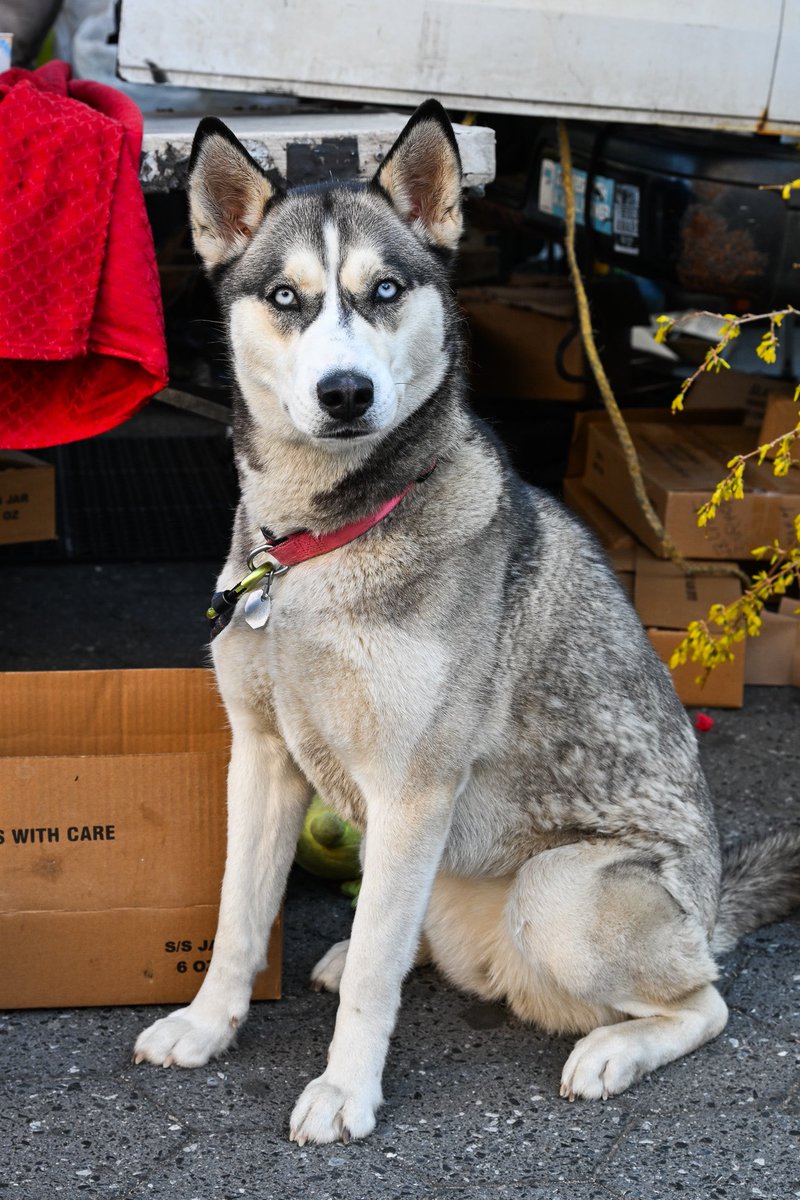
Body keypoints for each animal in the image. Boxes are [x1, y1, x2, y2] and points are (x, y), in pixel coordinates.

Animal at [134, 100, 796, 1142]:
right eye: (285, 297)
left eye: (385, 290)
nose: (346, 393)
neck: (318, 545)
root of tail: (713, 902)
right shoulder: (263, 757)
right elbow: (239, 916)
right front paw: (208, 1024)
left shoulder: (413, 791)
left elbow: (375, 970)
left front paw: (345, 1089)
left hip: (558, 896)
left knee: (706, 1000)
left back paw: (611, 1049)